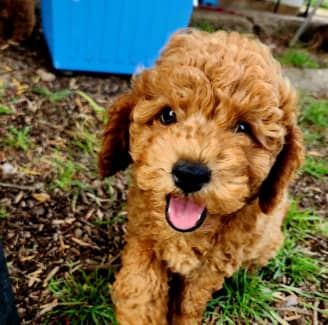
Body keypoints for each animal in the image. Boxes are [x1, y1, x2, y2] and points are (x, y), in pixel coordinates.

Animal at [98, 29, 304, 322]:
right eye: (168, 114)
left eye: (243, 128)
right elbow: (141, 286)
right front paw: (140, 314)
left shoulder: (214, 265)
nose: (190, 173)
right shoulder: (142, 236)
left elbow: (190, 302)